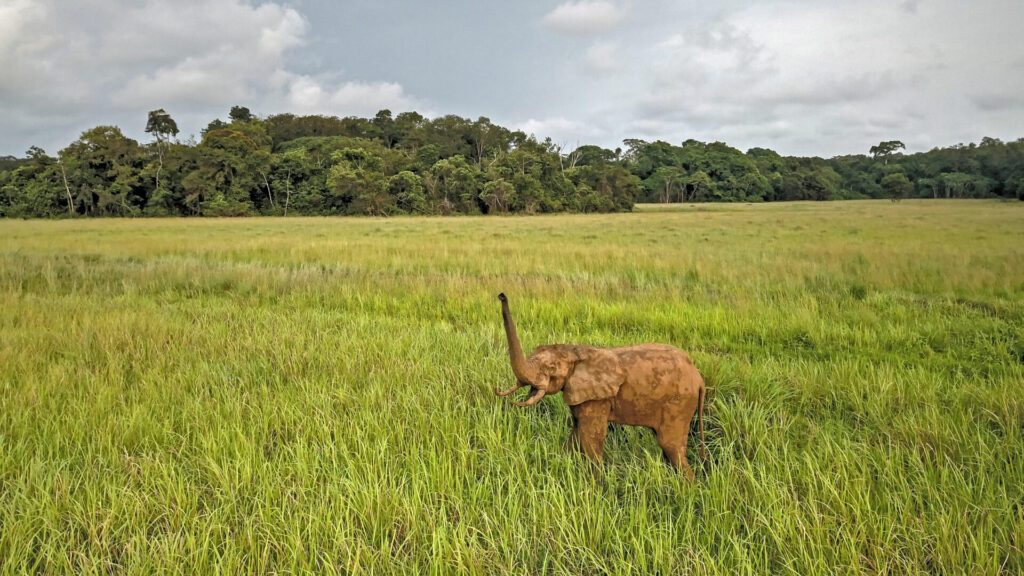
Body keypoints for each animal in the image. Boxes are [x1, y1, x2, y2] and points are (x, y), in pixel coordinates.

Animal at [493, 291, 704, 475]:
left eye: (551, 368)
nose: (501, 295)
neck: (575, 351)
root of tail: (699, 378)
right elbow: (576, 434)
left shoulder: (597, 398)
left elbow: (590, 439)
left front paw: (595, 485)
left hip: (679, 402)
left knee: (670, 445)